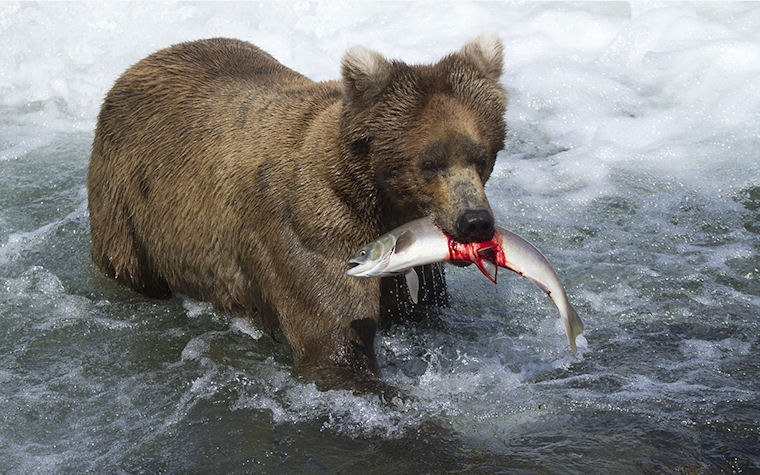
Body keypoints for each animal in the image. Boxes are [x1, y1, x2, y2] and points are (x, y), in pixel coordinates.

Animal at [87, 36, 504, 394]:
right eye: (429, 163)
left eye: (480, 156)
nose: (474, 220)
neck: (378, 204)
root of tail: (138, 64)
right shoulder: (313, 230)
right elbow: (333, 340)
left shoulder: (408, 260)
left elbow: (426, 307)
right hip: (127, 206)